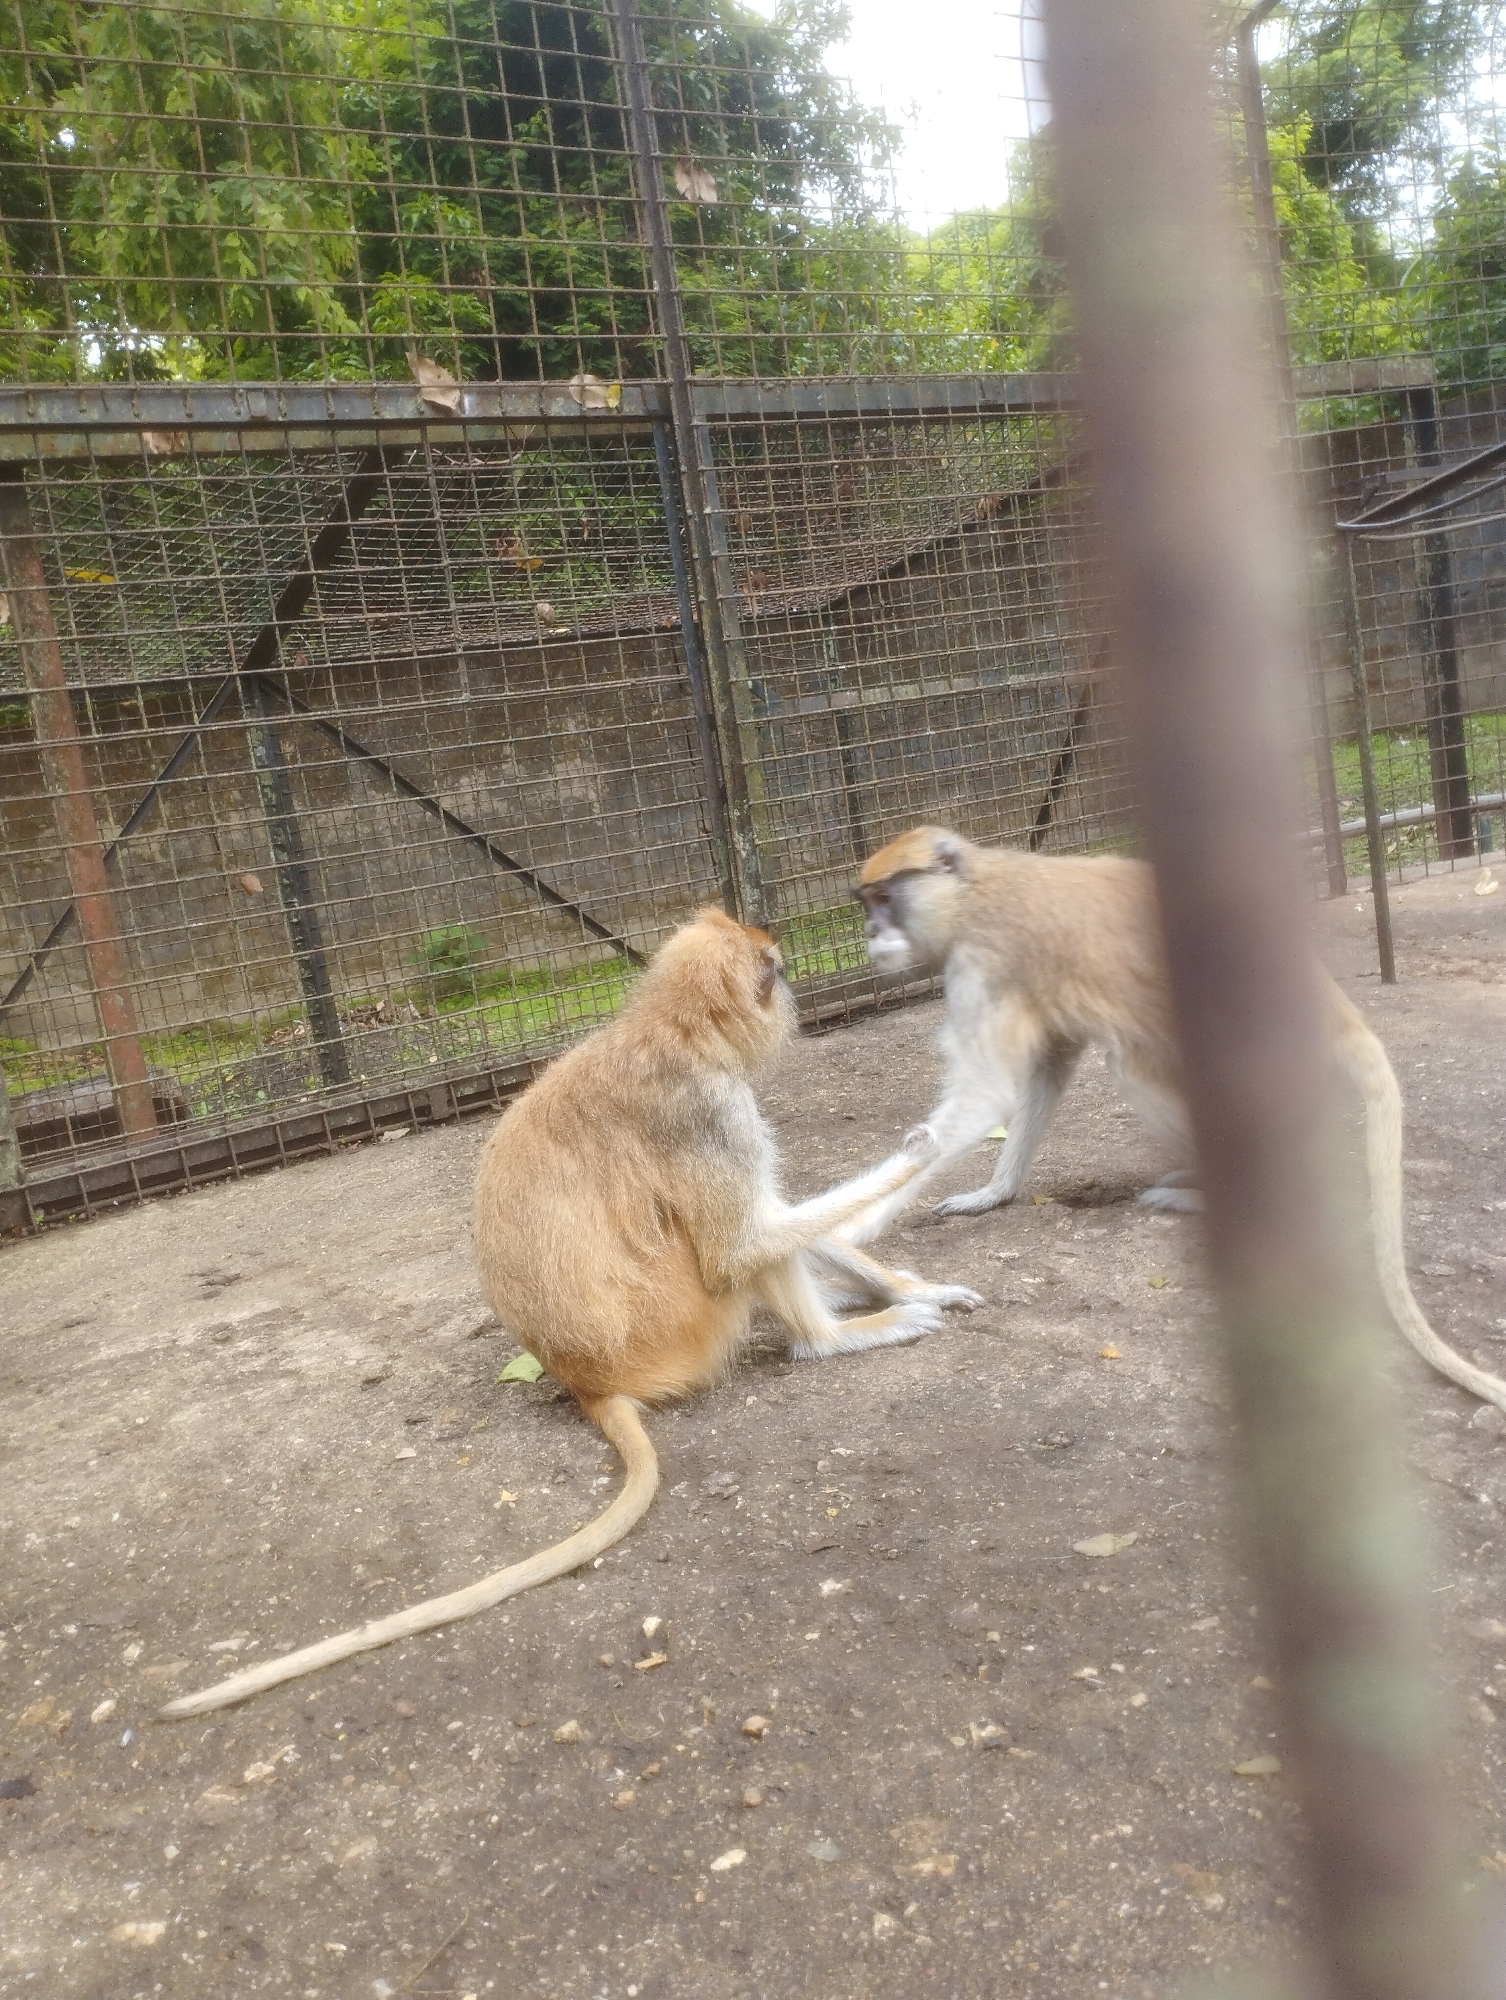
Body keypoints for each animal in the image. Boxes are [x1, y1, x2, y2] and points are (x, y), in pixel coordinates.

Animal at [160, 909, 980, 1719]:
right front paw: (922, 1154)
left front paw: (918, 1287)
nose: (794, 990)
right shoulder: (707, 1112)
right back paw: (827, 1338)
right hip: (679, 1321)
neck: (665, 1031)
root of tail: (587, 1378)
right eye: (772, 971)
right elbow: (741, 1244)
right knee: (727, 1253)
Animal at [840, 824, 1506, 1418]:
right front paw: (993, 1192)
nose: (871, 931)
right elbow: (1048, 1064)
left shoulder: (984, 965)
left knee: (1131, 1065)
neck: (974, 889)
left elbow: (983, 1096)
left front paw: (854, 1226)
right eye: (867, 903)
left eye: (885, 899)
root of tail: (1326, 999)